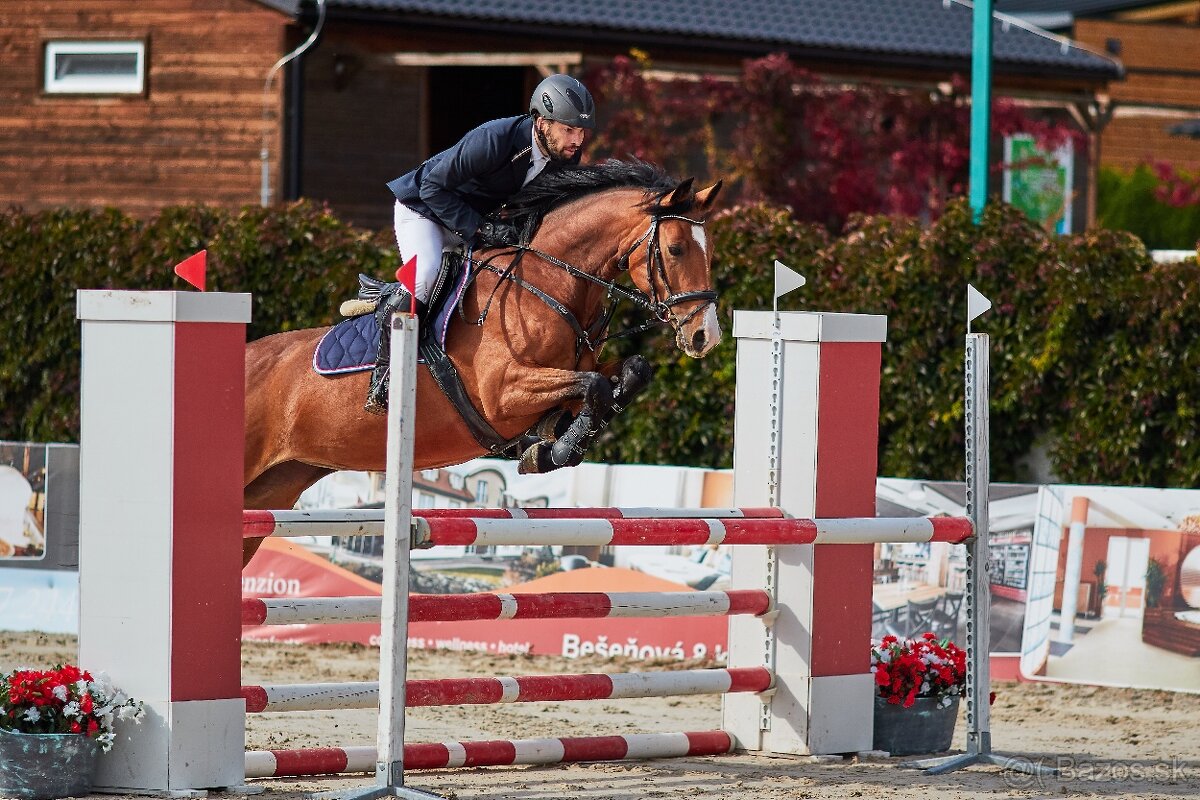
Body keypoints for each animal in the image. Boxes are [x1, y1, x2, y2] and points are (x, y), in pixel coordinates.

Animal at [238, 160, 715, 563]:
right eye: (675, 249)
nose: (704, 335)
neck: (547, 284)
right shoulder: (504, 394)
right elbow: (593, 386)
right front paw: (555, 447)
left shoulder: (568, 373)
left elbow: (628, 373)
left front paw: (553, 440)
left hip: (272, 489)